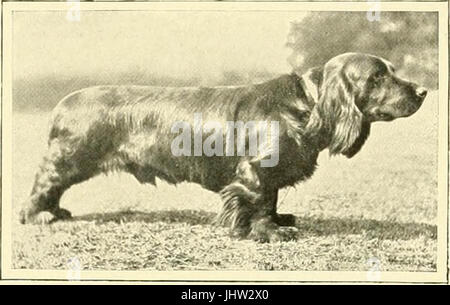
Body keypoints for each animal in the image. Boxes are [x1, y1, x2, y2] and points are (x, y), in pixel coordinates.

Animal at [19, 53, 428, 241]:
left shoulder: (268, 173)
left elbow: (272, 199)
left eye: (391, 71)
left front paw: (278, 220)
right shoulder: (254, 171)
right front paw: (268, 231)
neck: (307, 105)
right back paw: (40, 216)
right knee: (42, 186)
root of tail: (63, 102)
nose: (424, 91)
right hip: (70, 159)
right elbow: (259, 201)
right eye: (378, 77)